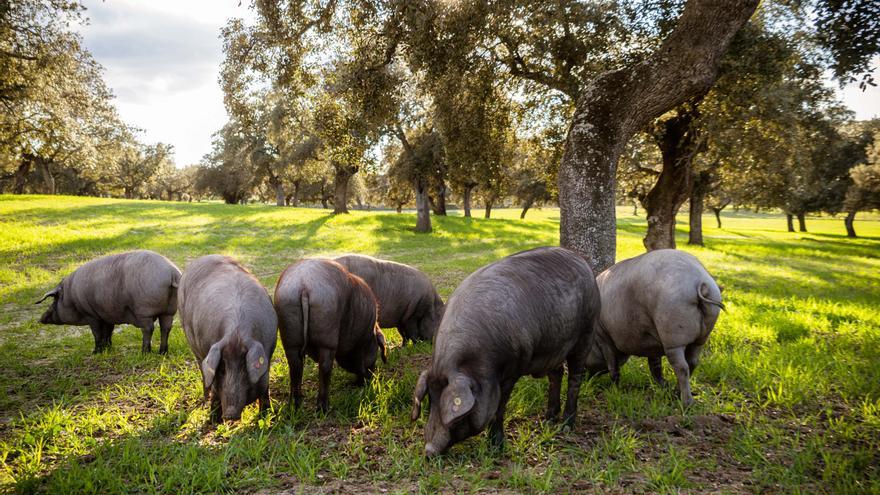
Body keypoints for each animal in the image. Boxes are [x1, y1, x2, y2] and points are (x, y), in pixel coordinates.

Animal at [35, 250, 183, 354]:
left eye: (55, 299)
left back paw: (145, 352)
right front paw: (108, 349)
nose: (40, 319)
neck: (70, 297)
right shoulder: (106, 315)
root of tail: (172, 273)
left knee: (148, 329)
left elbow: (97, 333)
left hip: (144, 310)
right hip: (169, 311)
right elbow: (108, 332)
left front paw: (95, 352)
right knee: (166, 328)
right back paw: (162, 352)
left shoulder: (91, 315)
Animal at [177, 256, 276, 422]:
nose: (230, 415)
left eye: (245, 368)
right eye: (222, 369)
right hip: (192, 342)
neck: (236, 335)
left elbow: (264, 388)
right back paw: (205, 402)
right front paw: (213, 421)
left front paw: (266, 416)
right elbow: (215, 390)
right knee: (203, 373)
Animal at [274, 258, 386, 412]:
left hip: (289, 333)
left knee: (295, 367)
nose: (372, 376)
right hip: (327, 334)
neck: (370, 333)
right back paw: (324, 408)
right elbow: (359, 361)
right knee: (325, 367)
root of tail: (304, 285)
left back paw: (295, 406)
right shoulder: (359, 343)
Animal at [410, 247, 600, 458]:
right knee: (556, 374)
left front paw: (497, 447)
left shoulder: (513, 368)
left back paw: (566, 426)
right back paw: (548, 419)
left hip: (587, 331)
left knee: (575, 378)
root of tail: (580, 260)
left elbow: (499, 407)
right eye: (430, 402)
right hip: (554, 346)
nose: (429, 450)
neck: (479, 364)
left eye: (455, 416)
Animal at [588, 250, 724, 408]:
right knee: (693, 362)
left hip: (673, 338)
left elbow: (613, 366)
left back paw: (686, 403)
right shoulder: (651, 342)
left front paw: (614, 389)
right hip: (701, 337)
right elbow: (655, 366)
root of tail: (700, 282)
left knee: (682, 367)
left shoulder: (604, 338)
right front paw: (663, 386)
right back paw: (675, 393)